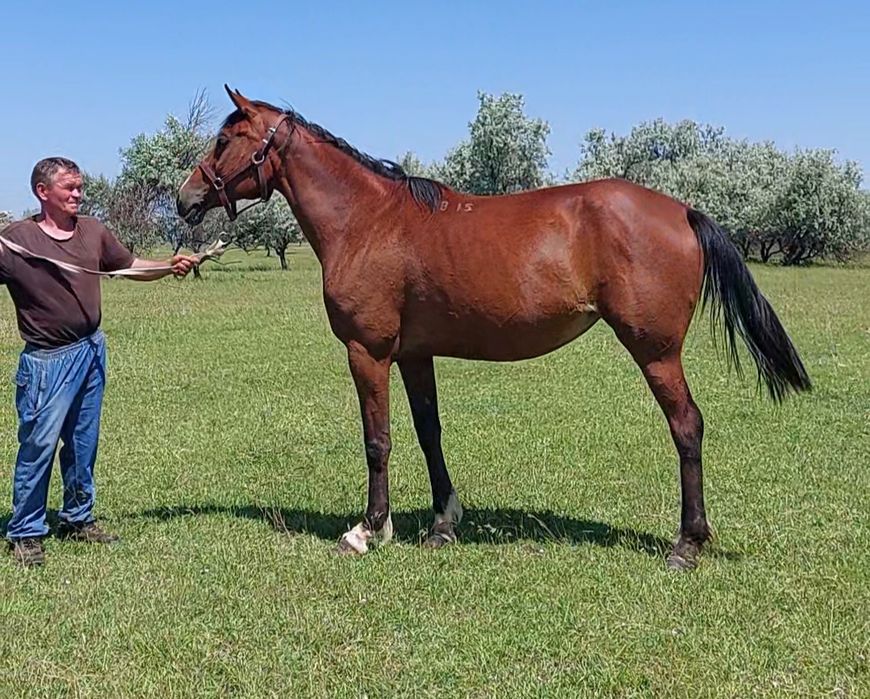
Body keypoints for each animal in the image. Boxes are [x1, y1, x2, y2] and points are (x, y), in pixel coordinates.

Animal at [177, 87, 810, 569]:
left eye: (225, 140)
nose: (185, 199)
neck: (368, 221)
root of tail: (681, 209)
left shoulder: (368, 352)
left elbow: (377, 440)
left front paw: (367, 529)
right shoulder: (414, 355)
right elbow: (428, 432)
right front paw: (442, 523)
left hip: (655, 352)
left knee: (687, 427)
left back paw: (686, 543)